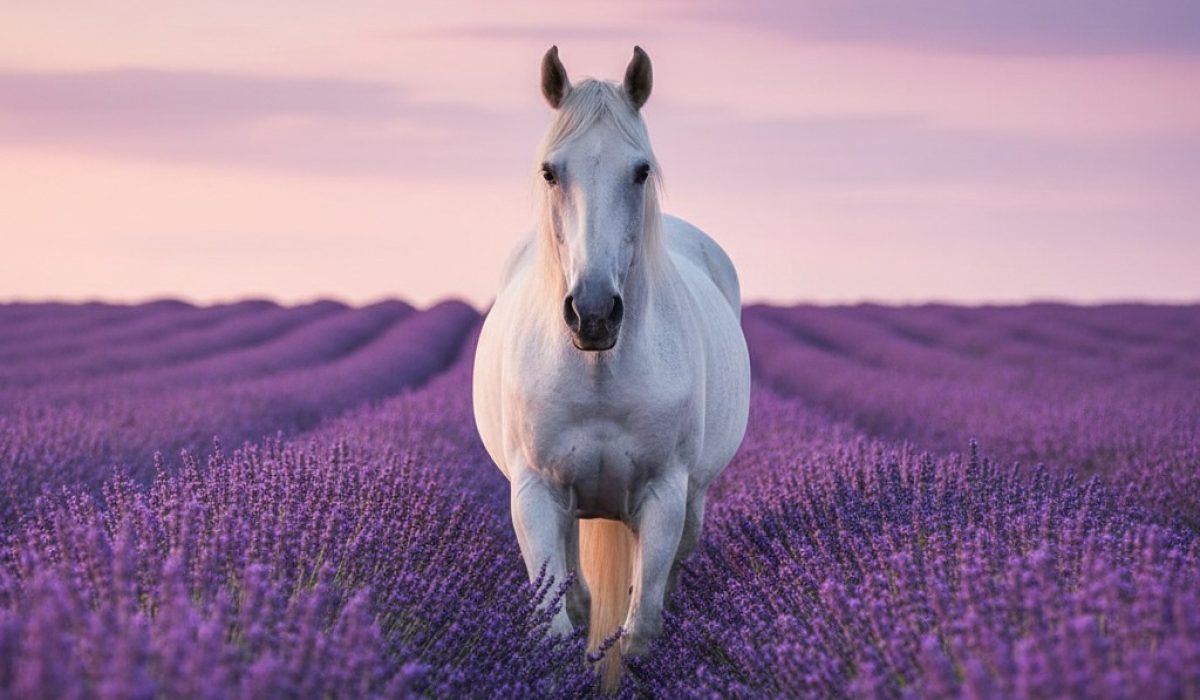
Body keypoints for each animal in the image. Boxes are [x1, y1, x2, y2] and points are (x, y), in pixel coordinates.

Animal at [472, 45, 750, 688]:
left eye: (641, 171)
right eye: (551, 172)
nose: (593, 312)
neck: (598, 369)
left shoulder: (664, 496)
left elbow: (640, 629)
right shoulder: (535, 494)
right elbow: (554, 627)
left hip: (692, 504)